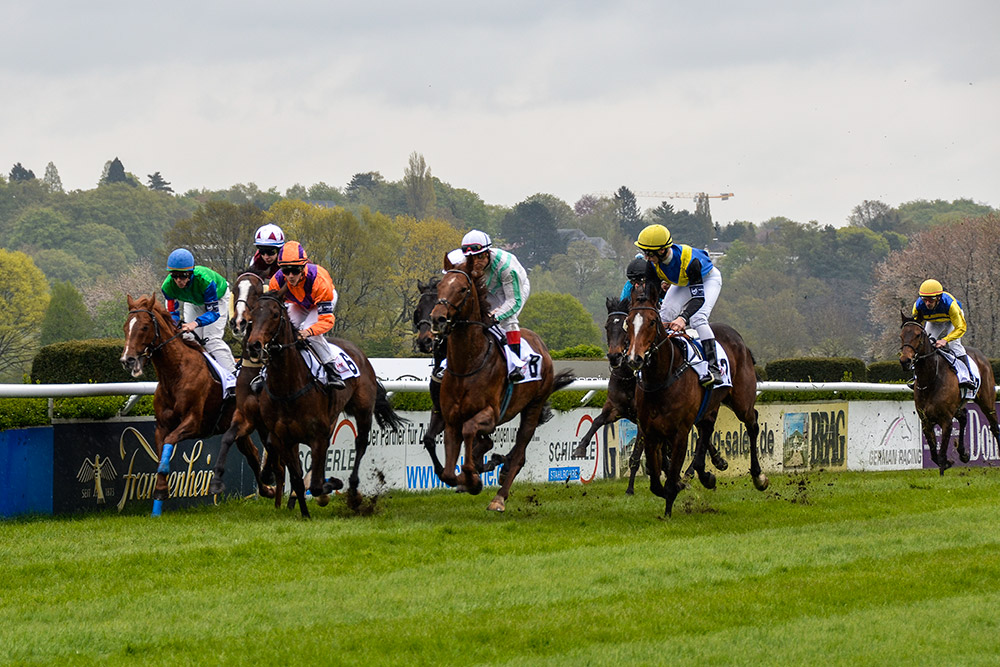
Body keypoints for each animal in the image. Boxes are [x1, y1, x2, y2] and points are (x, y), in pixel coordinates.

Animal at [120, 294, 274, 520]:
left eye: (145, 326)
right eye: (125, 327)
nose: (128, 360)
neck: (175, 373)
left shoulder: (194, 422)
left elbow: (170, 442)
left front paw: (161, 490)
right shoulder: (162, 426)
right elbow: (161, 452)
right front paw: (160, 495)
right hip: (240, 426)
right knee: (253, 454)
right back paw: (267, 490)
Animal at [242, 290, 406, 516]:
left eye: (275, 314)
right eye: (253, 315)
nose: (254, 345)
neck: (288, 388)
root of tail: (359, 352)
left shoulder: (316, 436)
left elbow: (317, 485)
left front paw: (332, 485)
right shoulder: (284, 438)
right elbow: (298, 480)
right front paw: (304, 513)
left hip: (363, 410)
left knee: (361, 443)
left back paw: (353, 490)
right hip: (331, 418)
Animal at [428, 262, 576, 512]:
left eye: (462, 289)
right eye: (439, 286)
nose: (438, 318)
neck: (468, 364)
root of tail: (542, 345)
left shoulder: (490, 413)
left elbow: (470, 431)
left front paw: (473, 479)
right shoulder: (450, 418)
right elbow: (448, 472)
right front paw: (468, 478)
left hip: (533, 407)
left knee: (519, 453)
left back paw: (499, 496)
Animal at [624, 288, 764, 516]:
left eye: (653, 322)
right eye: (628, 322)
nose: (634, 359)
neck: (662, 378)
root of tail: (739, 338)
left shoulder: (680, 432)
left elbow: (671, 476)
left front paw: (668, 511)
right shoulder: (649, 431)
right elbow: (655, 482)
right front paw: (682, 485)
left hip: (742, 401)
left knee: (752, 425)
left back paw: (759, 477)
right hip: (710, 406)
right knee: (707, 429)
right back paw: (707, 475)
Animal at [900, 314, 1000, 474]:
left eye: (918, 335)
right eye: (901, 335)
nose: (905, 361)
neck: (931, 378)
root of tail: (982, 356)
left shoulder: (946, 420)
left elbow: (941, 454)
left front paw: (944, 468)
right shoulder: (926, 421)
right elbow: (934, 454)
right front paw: (949, 462)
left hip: (987, 401)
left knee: (995, 427)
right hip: (958, 405)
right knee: (964, 416)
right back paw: (963, 453)